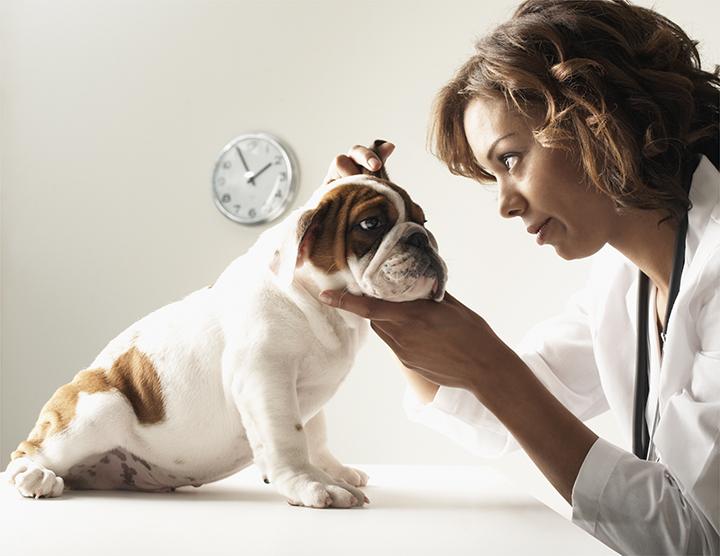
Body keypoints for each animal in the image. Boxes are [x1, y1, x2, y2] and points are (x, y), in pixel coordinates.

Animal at [5, 144, 448, 508]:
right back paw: (35, 476)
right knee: (26, 452)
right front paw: (312, 484)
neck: (322, 308)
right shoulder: (266, 378)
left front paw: (333, 470)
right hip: (99, 408)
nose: (422, 239)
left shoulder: (309, 393)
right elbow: (289, 437)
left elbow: (316, 434)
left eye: (424, 221)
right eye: (371, 225)